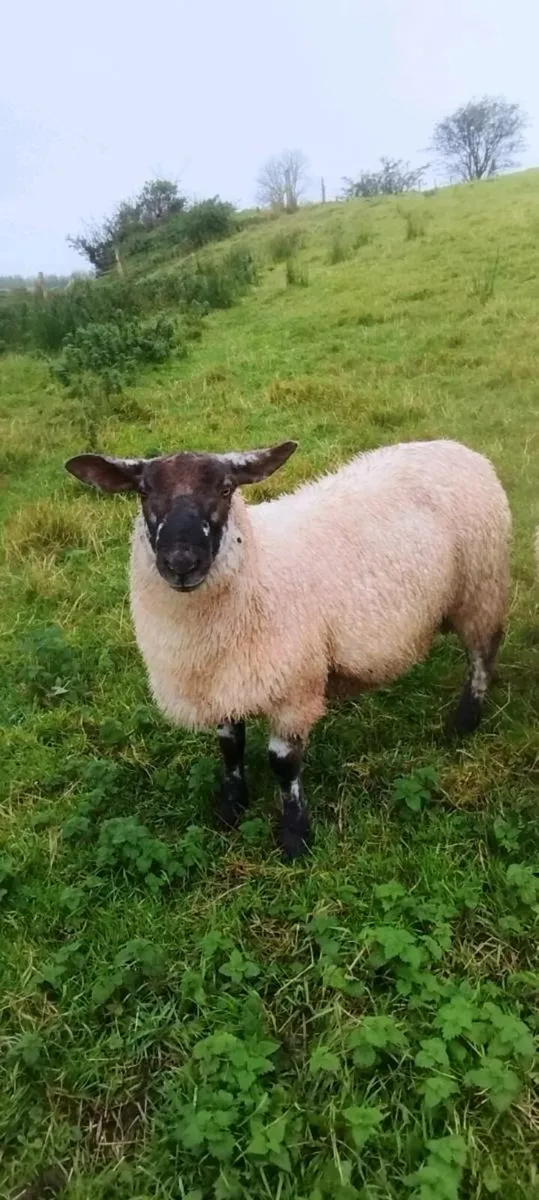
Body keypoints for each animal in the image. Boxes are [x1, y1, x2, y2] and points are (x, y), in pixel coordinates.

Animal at [65, 438, 511, 860]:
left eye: (226, 489)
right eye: (143, 491)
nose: (181, 562)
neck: (259, 566)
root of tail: (457, 448)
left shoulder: (295, 688)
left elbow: (283, 765)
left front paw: (296, 835)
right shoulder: (224, 682)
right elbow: (230, 749)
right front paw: (232, 809)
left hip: (481, 590)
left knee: (482, 656)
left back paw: (464, 722)